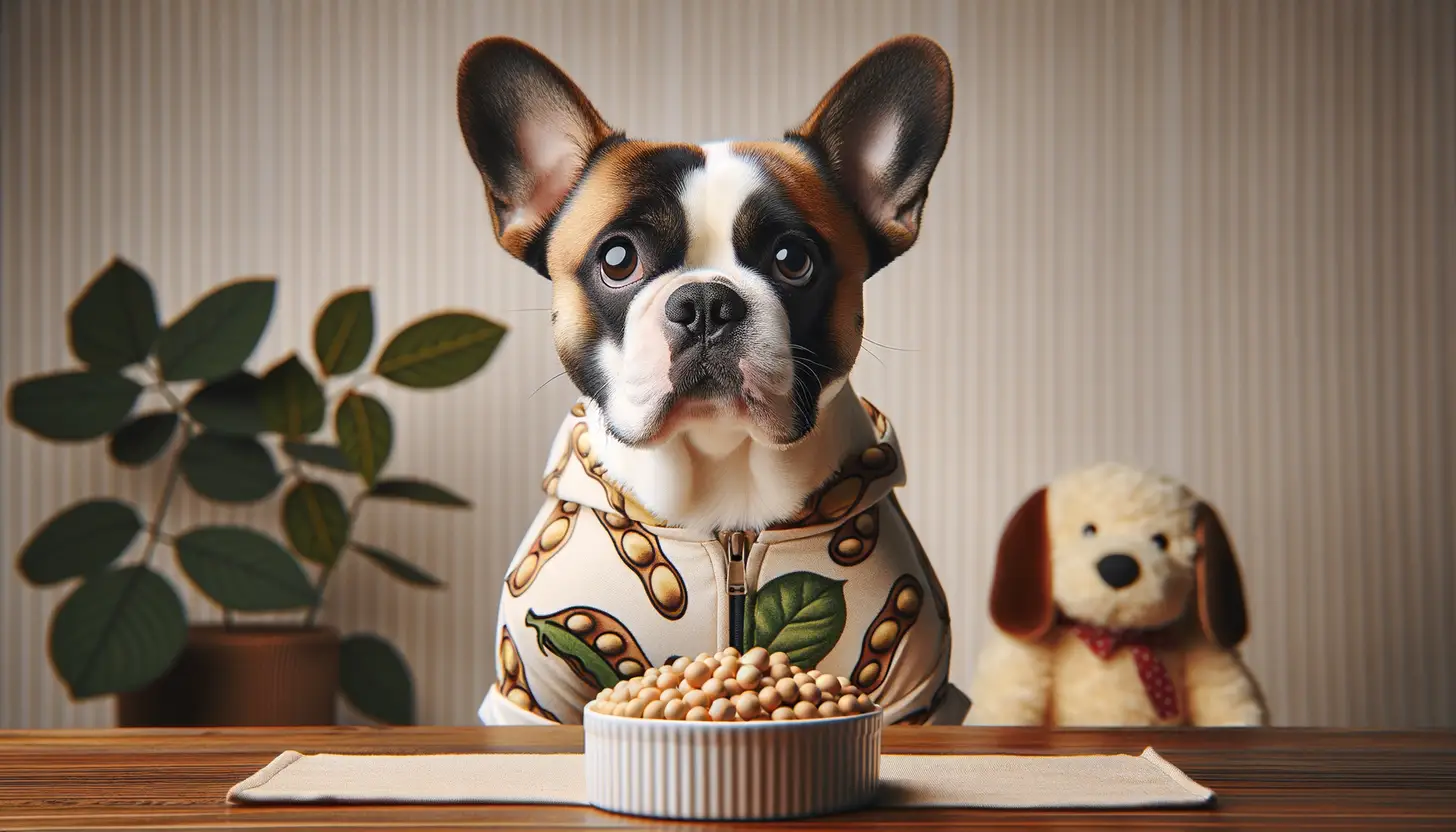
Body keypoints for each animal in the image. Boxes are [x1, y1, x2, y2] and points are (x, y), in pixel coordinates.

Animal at [972, 466, 1269, 725]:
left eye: (1160, 540)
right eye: (1088, 530)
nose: (1118, 567)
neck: (1118, 637)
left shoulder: (1205, 648)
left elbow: (1230, 701)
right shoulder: (1027, 655)